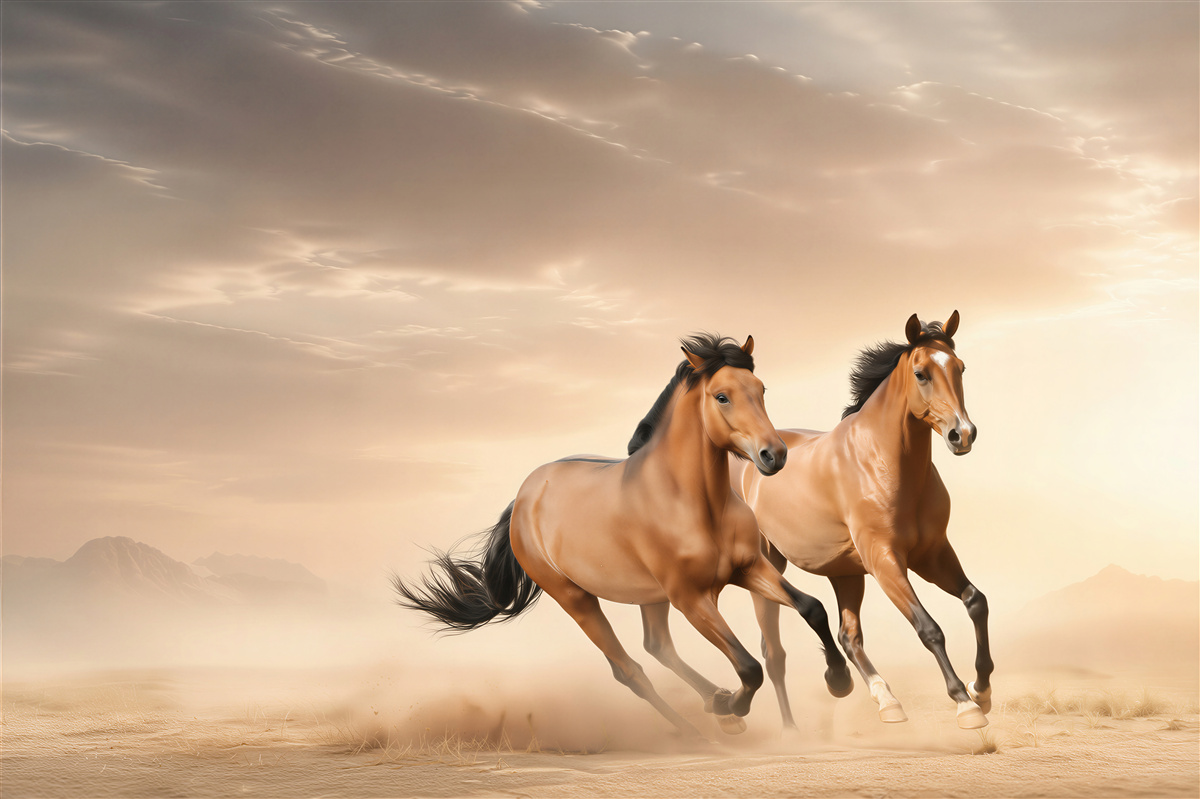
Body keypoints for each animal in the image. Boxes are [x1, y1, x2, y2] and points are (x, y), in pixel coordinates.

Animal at [395, 334, 852, 738]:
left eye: (760, 389)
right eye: (722, 396)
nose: (774, 455)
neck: (694, 502)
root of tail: (525, 497)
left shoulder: (749, 569)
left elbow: (812, 609)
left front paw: (839, 681)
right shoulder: (691, 598)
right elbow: (749, 667)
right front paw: (731, 705)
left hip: (649, 595)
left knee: (657, 646)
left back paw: (714, 706)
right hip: (576, 598)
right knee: (629, 669)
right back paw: (698, 731)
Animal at [733, 312, 993, 730]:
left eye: (960, 368)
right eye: (921, 373)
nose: (962, 434)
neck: (882, 463)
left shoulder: (932, 553)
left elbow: (976, 602)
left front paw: (981, 690)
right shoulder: (885, 559)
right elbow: (929, 628)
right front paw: (965, 704)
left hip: (845, 573)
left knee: (847, 636)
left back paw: (886, 701)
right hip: (768, 566)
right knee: (773, 651)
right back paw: (791, 727)